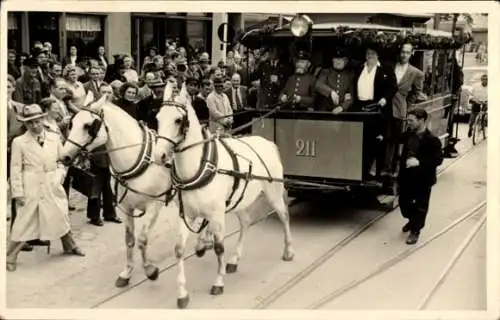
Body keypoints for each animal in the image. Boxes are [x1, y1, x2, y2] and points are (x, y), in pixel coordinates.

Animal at [60, 95, 175, 288]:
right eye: (71, 123)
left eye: (88, 126)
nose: (64, 156)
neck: (141, 161)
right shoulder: (127, 208)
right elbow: (129, 240)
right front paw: (126, 273)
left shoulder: (155, 205)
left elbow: (142, 239)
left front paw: (150, 270)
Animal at [154, 81, 294, 308]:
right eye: (157, 118)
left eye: (178, 120)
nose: (160, 155)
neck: (199, 166)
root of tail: (267, 142)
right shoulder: (187, 215)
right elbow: (179, 249)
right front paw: (182, 293)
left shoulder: (217, 214)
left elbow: (219, 247)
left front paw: (218, 282)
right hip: (239, 200)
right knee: (246, 222)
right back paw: (235, 259)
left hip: (272, 192)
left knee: (284, 215)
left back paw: (289, 250)